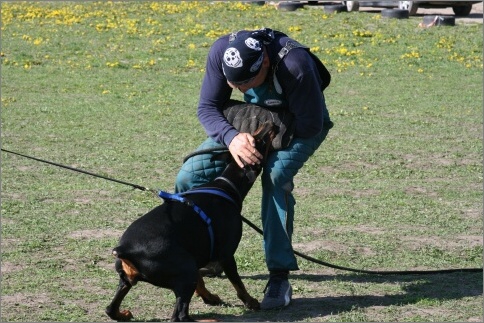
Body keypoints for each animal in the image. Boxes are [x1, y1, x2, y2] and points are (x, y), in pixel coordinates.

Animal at [105, 122, 276, 323]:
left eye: (254, 135)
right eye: (259, 141)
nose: (271, 123)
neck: (227, 186)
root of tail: (125, 249)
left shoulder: (196, 254)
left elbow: (201, 281)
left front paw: (208, 297)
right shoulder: (226, 254)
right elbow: (238, 284)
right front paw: (250, 301)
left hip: (133, 278)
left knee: (110, 309)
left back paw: (122, 314)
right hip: (185, 269)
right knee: (179, 316)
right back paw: (209, 320)